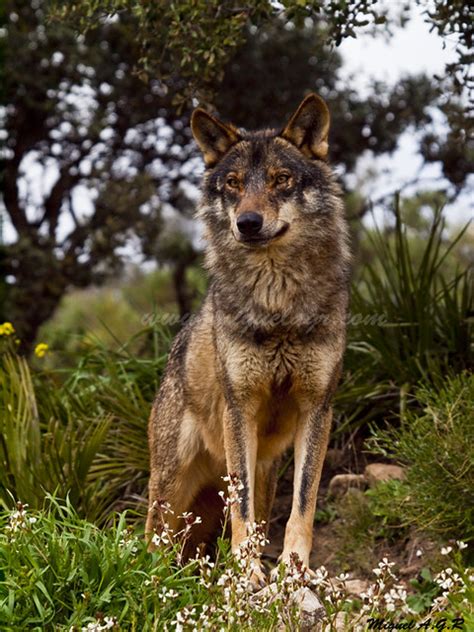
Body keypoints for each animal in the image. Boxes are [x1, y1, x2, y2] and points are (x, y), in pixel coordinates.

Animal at [145, 92, 352, 584]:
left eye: (281, 180)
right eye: (234, 184)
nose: (249, 223)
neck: (277, 306)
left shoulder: (318, 408)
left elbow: (303, 503)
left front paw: (294, 569)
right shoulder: (239, 407)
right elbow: (242, 509)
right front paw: (246, 571)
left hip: (263, 469)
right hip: (170, 485)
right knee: (152, 542)